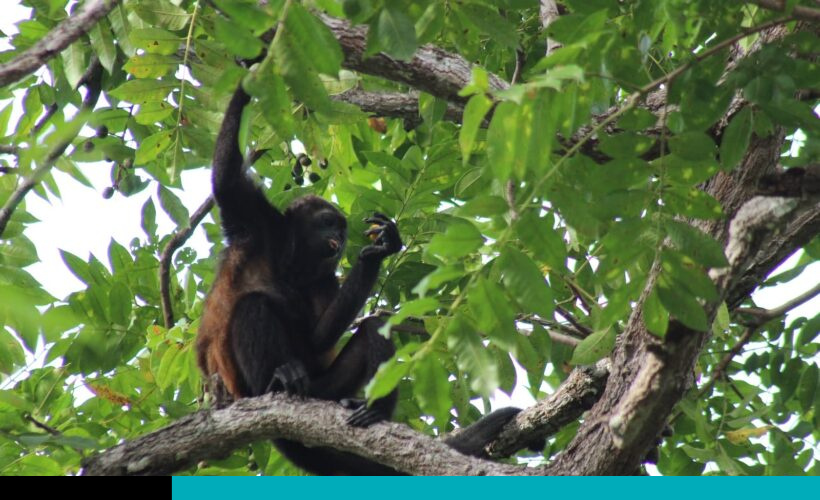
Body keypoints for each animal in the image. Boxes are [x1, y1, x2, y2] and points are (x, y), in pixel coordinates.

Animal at [196, 79, 526, 475]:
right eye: (327, 222)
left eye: (341, 227)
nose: (338, 239)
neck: (290, 260)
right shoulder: (255, 220)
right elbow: (227, 179)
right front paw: (253, 69)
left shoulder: (325, 279)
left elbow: (319, 337)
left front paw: (379, 252)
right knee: (253, 306)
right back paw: (274, 381)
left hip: (327, 389)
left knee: (373, 328)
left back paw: (375, 410)